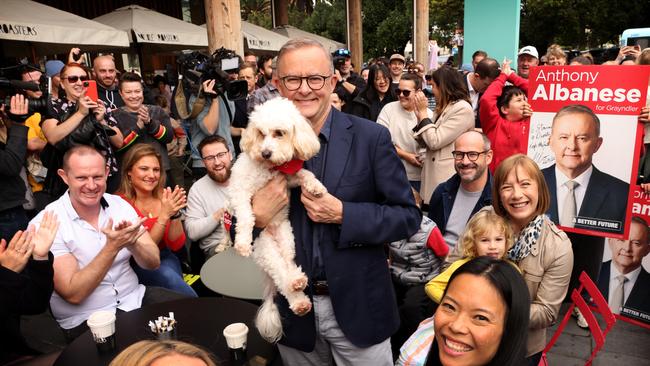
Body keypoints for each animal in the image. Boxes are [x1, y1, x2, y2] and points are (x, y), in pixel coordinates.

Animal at [228, 97, 326, 344]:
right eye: (261, 133)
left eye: (279, 133)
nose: (265, 152)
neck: (270, 169)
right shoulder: (239, 192)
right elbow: (245, 217)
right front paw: (241, 243)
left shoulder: (289, 178)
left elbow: (305, 174)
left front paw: (316, 187)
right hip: (265, 249)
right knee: (281, 275)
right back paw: (296, 292)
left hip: (287, 240)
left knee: (288, 265)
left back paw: (298, 286)